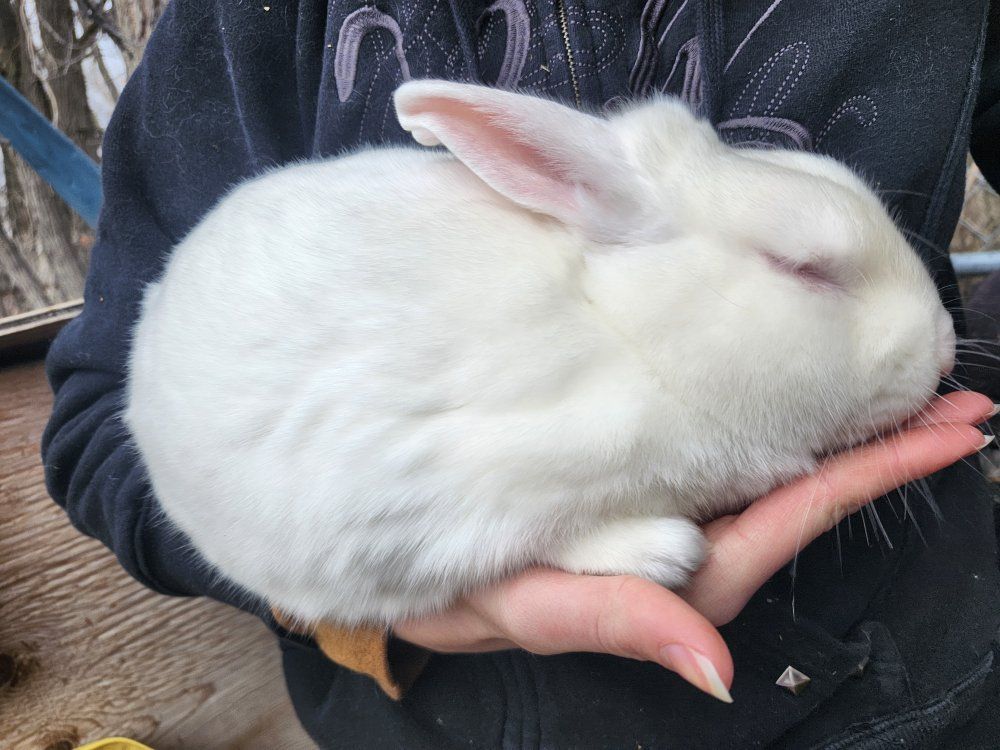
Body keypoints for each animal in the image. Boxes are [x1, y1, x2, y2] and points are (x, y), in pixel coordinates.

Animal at [125, 80, 956, 627]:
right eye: (804, 268)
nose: (946, 346)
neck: (625, 329)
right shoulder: (463, 498)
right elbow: (548, 540)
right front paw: (665, 553)